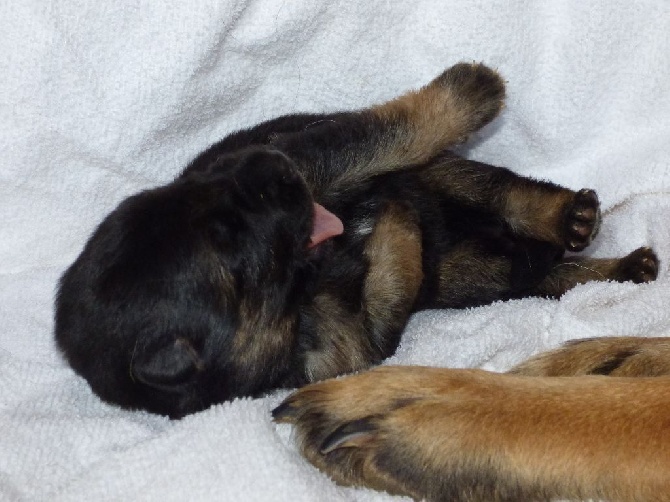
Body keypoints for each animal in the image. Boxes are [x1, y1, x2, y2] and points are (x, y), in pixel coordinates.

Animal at [55, 62, 660, 418]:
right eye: (233, 247)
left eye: (209, 187)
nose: (267, 159)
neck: (303, 296)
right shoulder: (351, 347)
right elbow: (391, 281)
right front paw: (395, 228)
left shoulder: (318, 162)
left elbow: (387, 132)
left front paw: (468, 86)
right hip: (479, 276)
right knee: (542, 272)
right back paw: (606, 262)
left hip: (443, 176)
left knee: (506, 193)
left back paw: (565, 217)